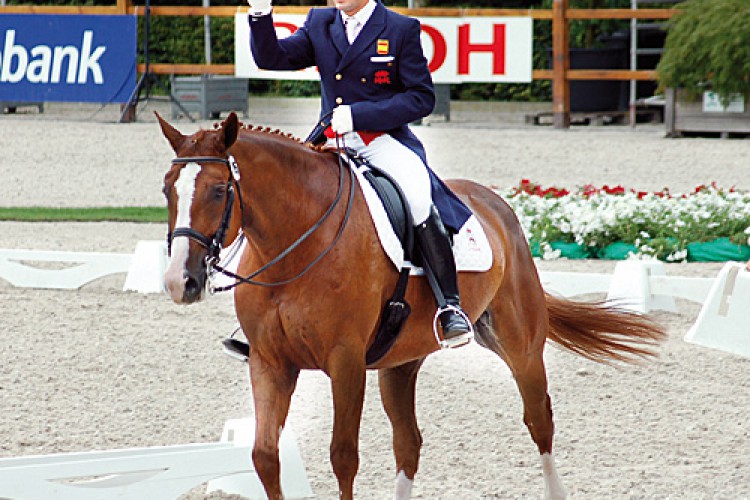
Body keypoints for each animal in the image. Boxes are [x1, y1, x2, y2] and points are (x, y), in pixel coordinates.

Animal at [157, 113, 664, 500]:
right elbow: (264, 457)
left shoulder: (345, 363)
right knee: (409, 442)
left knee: (539, 420)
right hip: (400, 363)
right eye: (168, 189)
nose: (180, 281)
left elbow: (343, 456)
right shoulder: (269, 361)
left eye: (219, 190)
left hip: (520, 346)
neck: (296, 243)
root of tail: (496, 204)